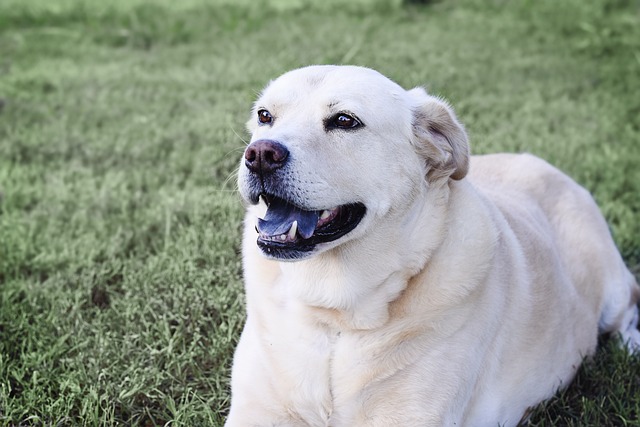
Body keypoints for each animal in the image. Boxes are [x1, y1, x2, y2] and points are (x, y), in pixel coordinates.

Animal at [226, 65, 640, 426]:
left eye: (345, 121)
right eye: (265, 116)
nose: (260, 154)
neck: (334, 317)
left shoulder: (408, 417)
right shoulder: (255, 410)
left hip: (611, 285)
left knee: (625, 314)